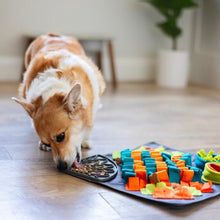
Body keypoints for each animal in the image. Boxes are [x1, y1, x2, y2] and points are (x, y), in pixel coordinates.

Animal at [12, 33, 105, 170]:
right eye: (48, 143)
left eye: (61, 137)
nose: (61, 167)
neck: (53, 88)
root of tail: (52, 34)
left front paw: (85, 140)